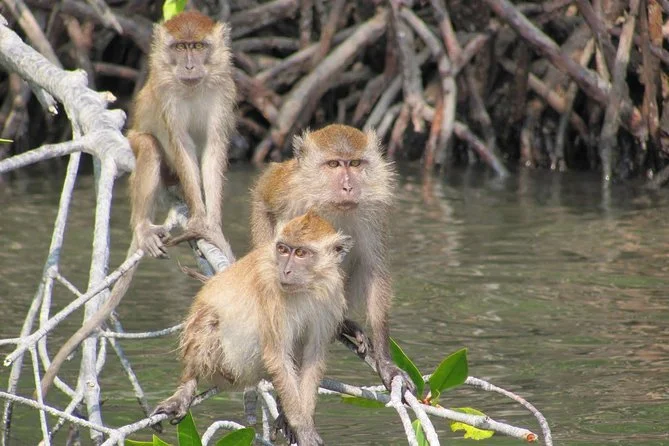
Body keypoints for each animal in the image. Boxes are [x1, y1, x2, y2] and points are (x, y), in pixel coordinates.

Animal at [38, 11, 236, 398]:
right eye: (180, 47)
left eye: (198, 46)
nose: (189, 65)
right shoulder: (166, 94)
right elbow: (180, 145)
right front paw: (201, 220)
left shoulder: (223, 90)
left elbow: (213, 149)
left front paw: (213, 226)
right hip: (149, 159)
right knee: (149, 146)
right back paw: (144, 226)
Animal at [153, 211, 352, 446]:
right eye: (283, 249)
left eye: (301, 253)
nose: (285, 270)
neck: (306, 288)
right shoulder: (270, 292)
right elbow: (277, 354)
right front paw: (303, 427)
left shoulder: (331, 296)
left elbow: (313, 354)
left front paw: (303, 419)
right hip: (226, 364)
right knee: (208, 319)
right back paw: (188, 386)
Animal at [250, 124, 416, 396]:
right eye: (334, 164)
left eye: (355, 163)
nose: (348, 186)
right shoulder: (288, 190)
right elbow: (263, 200)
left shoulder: (374, 211)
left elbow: (374, 270)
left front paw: (386, 363)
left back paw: (341, 324)